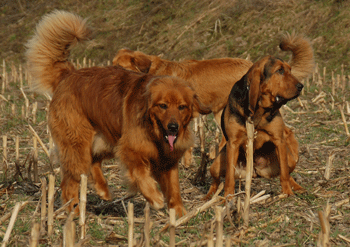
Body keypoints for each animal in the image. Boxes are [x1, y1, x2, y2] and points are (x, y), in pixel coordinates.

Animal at [26, 10, 211, 217]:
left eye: (182, 107)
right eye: (162, 106)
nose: (173, 127)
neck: (153, 130)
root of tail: (69, 74)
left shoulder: (167, 161)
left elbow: (174, 188)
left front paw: (179, 214)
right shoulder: (130, 149)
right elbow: (140, 175)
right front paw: (154, 198)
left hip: (107, 139)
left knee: (93, 163)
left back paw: (103, 190)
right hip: (78, 144)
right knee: (69, 184)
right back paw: (74, 213)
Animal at [205, 55, 308, 200]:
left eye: (290, 70)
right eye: (280, 71)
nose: (301, 86)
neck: (260, 109)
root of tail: (255, 171)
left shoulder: (279, 141)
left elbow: (284, 174)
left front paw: (287, 193)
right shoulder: (233, 144)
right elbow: (229, 178)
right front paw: (229, 198)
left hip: (290, 159)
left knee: (288, 173)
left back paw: (298, 188)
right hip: (215, 166)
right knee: (216, 181)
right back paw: (209, 197)